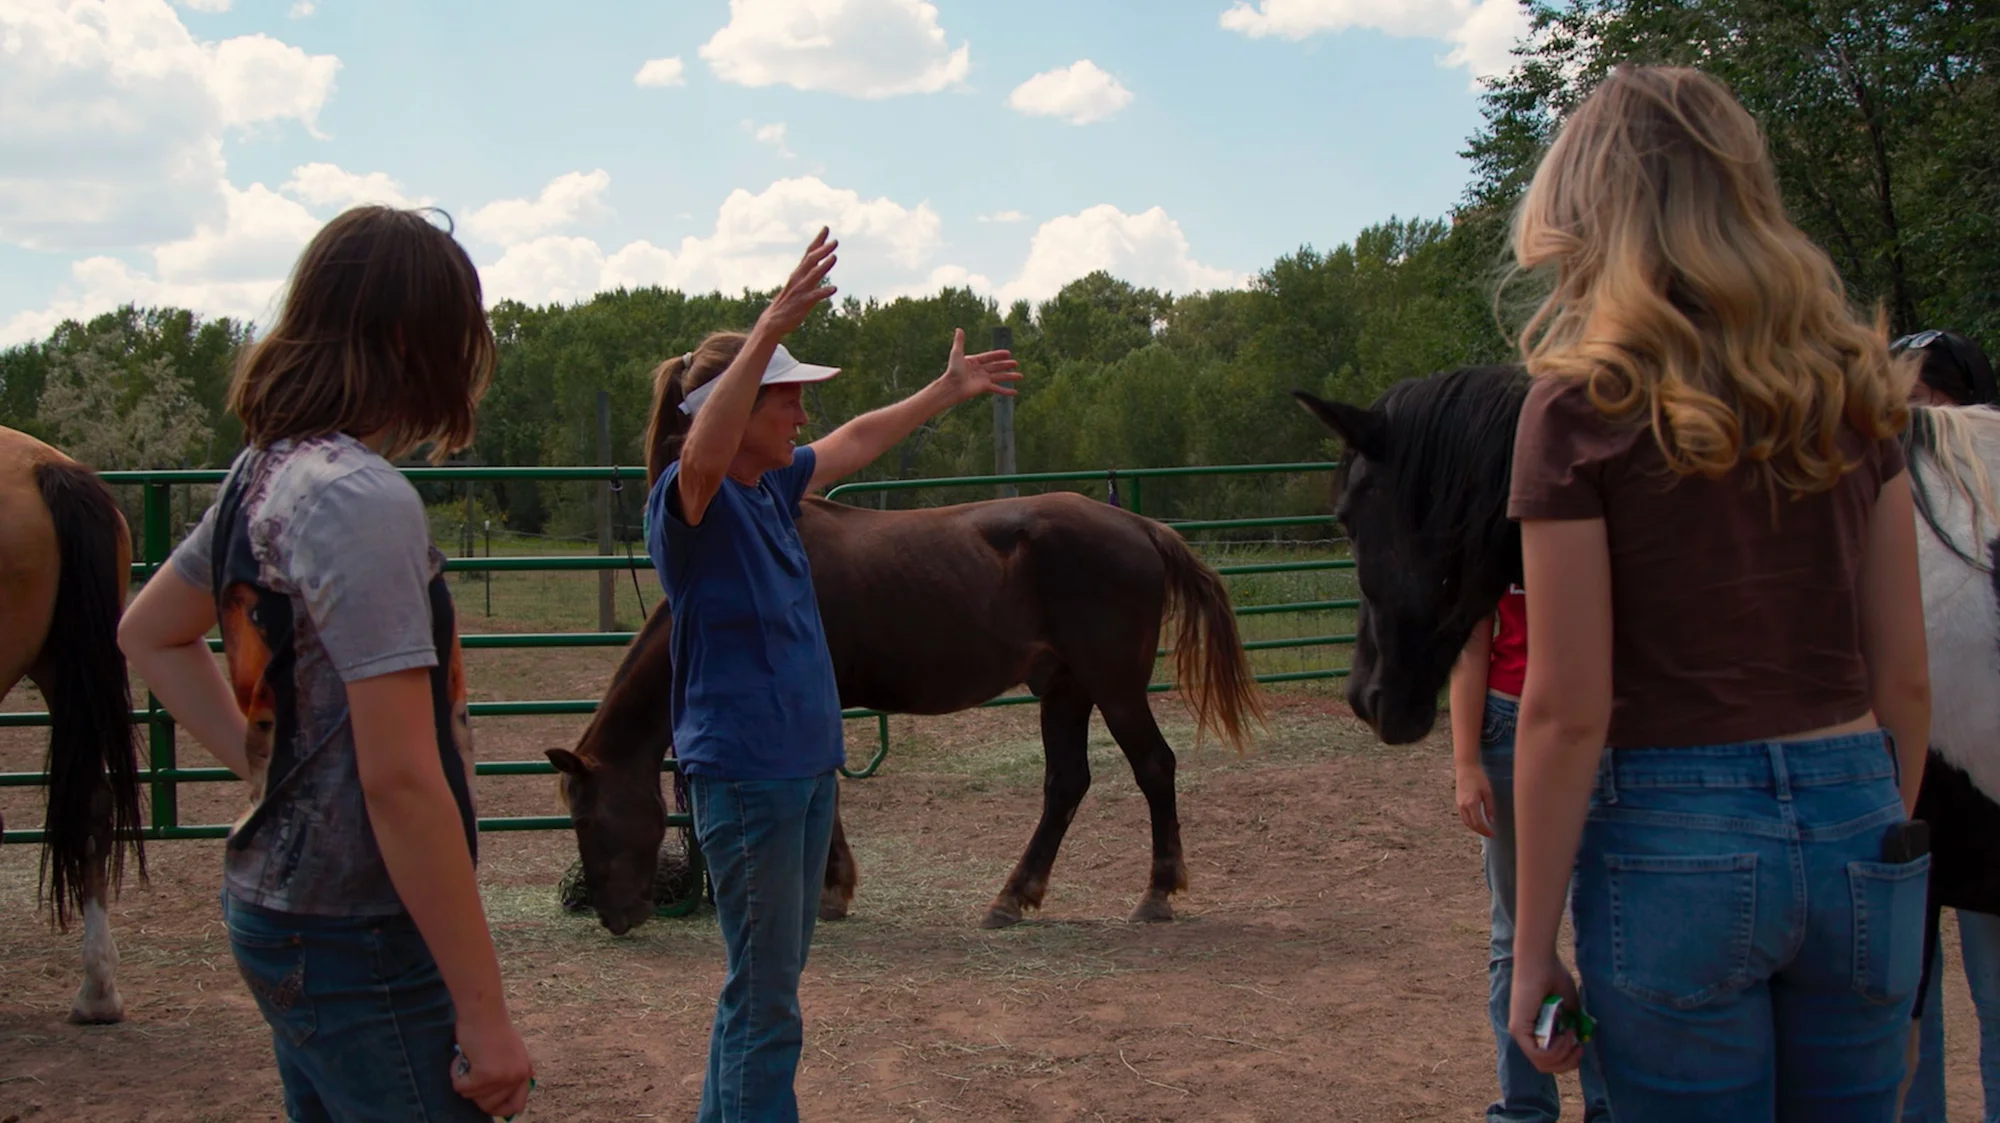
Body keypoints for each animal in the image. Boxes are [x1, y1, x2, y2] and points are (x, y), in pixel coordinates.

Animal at [548, 485, 1264, 931]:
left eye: (585, 818)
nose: (613, 916)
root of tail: (1140, 526)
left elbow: (823, 791)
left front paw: (830, 889)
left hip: (1112, 686)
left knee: (1154, 768)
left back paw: (1156, 893)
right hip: (1065, 690)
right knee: (1067, 784)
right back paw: (1013, 897)